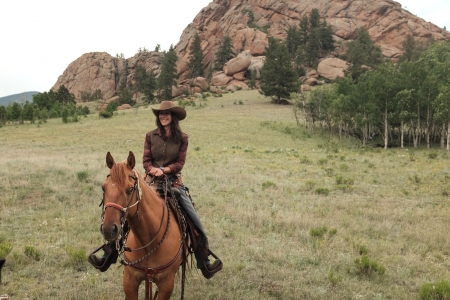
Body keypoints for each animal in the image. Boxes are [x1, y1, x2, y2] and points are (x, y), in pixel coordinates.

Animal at [100, 151, 186, 300]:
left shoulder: (166, 284)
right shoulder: (130, 280)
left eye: (130, 189)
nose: (108, 229)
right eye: (103, 188)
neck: (149, 240)